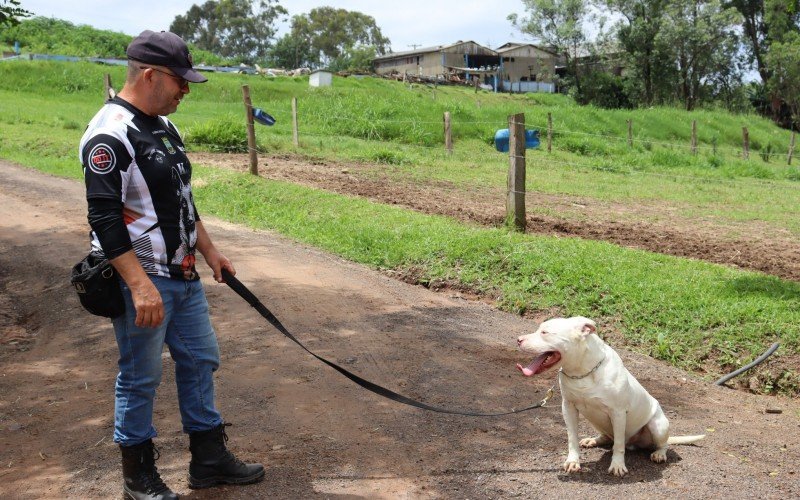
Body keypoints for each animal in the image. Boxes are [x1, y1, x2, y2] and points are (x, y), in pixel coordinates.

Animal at [516, 316, 704, 476]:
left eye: (544, 332)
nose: (518, 339)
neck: (583, 371)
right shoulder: (568, 407)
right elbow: (572, 438)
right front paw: (573, 461)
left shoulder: (618, 413)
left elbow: (619, 444)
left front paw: (618, 465)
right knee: (607, 437)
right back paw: (593, 440)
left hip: (658, 425)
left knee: (660, 443)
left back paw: (659, 454)